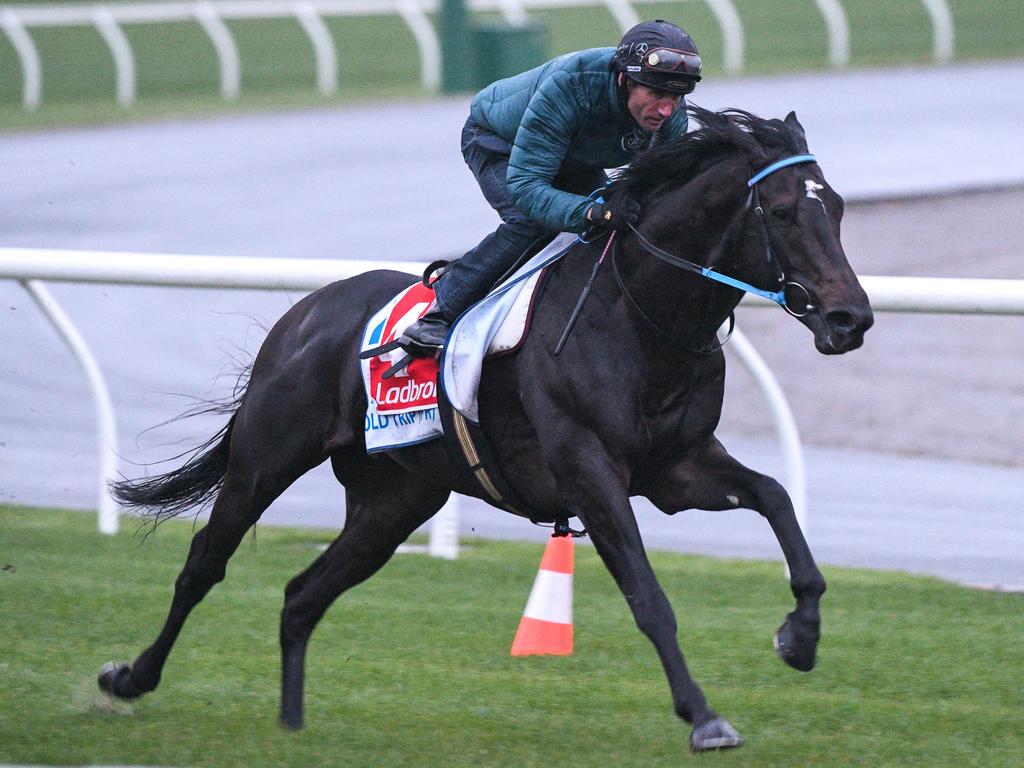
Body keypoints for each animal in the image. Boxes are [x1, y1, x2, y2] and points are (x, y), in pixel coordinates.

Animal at [99, 107, 872, 753]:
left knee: (303, 595)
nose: (851, 319)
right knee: (205, 562)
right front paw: (705, 716)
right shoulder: (589, 469)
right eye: (781, 212)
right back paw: (129, 678)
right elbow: (648, 597)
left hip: (394, 501)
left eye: (835, 208)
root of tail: (305, 313)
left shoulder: (677, 467)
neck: (637, 314)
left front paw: (800, 637)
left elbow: (775, 497)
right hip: (267, 457)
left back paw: (291, 723)